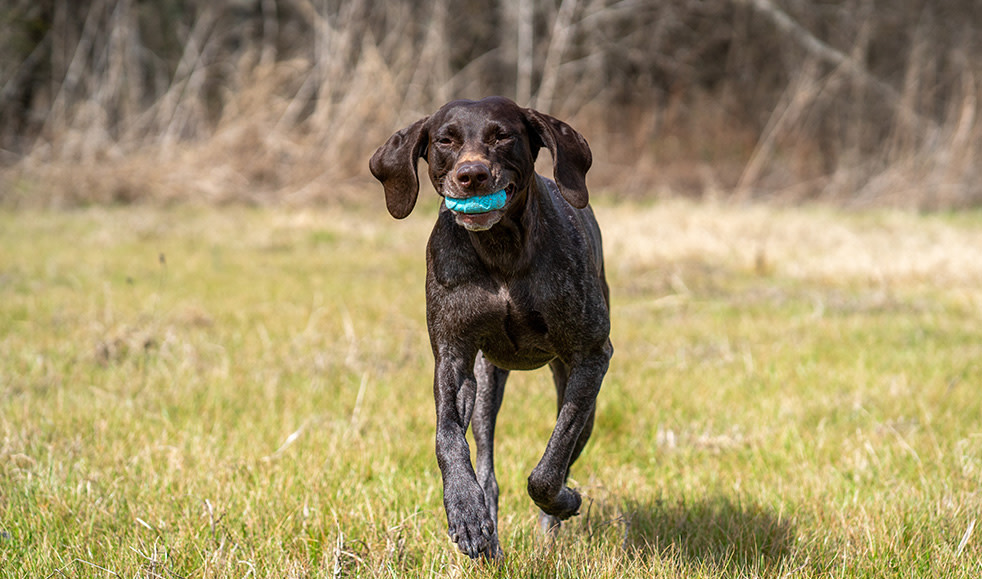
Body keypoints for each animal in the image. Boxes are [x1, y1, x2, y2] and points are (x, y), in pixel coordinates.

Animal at [370, 96, 612, 560]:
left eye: (502, 136)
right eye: (445, 140)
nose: (472, 175)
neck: (501, 251)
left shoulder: (591, 357)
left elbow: (549, 467)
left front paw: (563, 500)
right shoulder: (454, 359)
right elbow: (448, 437)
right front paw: (465, 512)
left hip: (581, 396)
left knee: (566, 449)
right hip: (486, 386)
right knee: (487, 467)